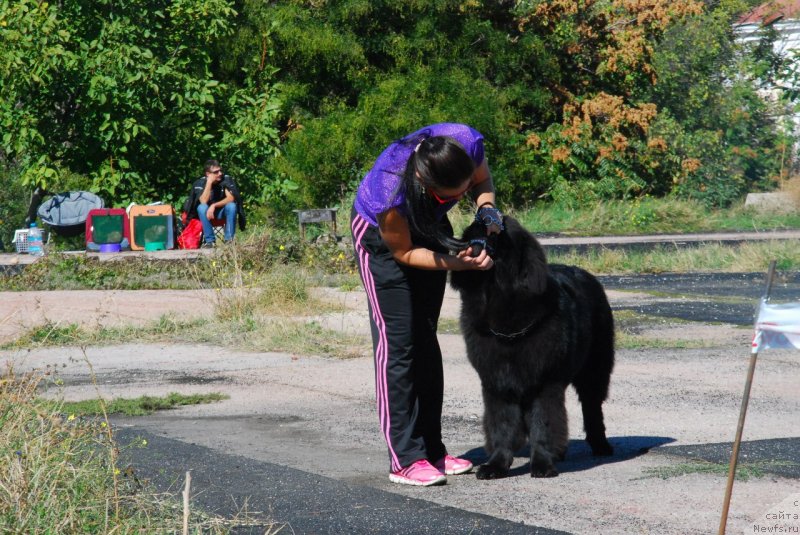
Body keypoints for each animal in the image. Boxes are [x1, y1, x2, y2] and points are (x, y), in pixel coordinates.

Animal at [454, 216, 616, 480]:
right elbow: (502, 425)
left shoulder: (545, 383)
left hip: (595, 368)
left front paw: (542, 464)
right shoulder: (496, 383)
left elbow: (544, 422)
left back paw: (601, 445)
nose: (481, 217)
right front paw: (495, 465)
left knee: (592, 406)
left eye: (498, 232)